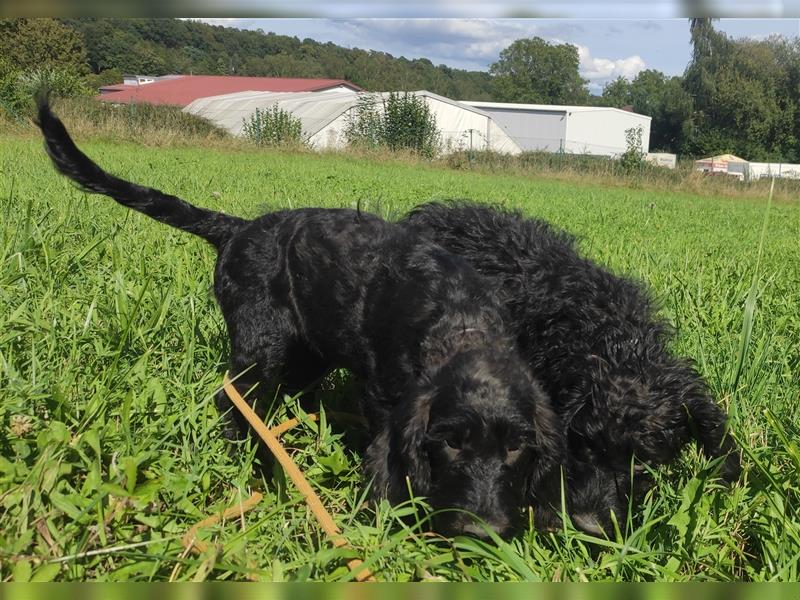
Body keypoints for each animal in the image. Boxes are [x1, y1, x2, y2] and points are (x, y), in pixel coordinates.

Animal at [36, 99, 564, 540]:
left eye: (516, 447)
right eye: (451, 443)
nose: (484, 532)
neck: (460, 323)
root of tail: (239, 228)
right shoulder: (384, 397)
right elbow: (385, 458)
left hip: (310, 352)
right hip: (260, 346)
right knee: (232, 400)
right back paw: (248, 458)